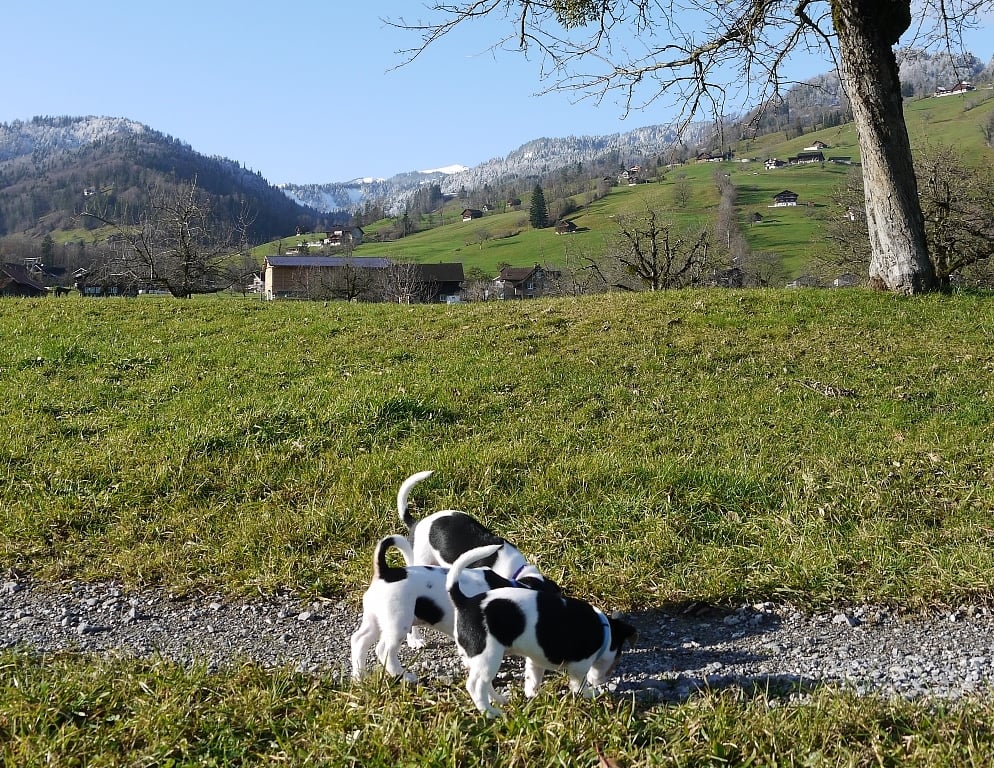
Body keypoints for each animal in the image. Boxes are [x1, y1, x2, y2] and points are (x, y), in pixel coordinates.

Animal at [350, 534, 521, 689]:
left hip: (374, 620)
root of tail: (386, 573)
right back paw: (404, 676)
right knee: (384, 651)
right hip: (397, 625)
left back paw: (359, 676)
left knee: (359, 640)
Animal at [446, 544, 638, 717]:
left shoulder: (535, 660)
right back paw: (490, 712)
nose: (604, 680)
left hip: (480, 659)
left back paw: (499, 700)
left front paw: (534, 695)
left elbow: (533, 680)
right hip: (488, 656)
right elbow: (579, 685)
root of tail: (465, 602)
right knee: (475, 686)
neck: (605, 633)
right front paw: (591, 693)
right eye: (616, 660)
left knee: (486, 684)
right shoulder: (579, 667)